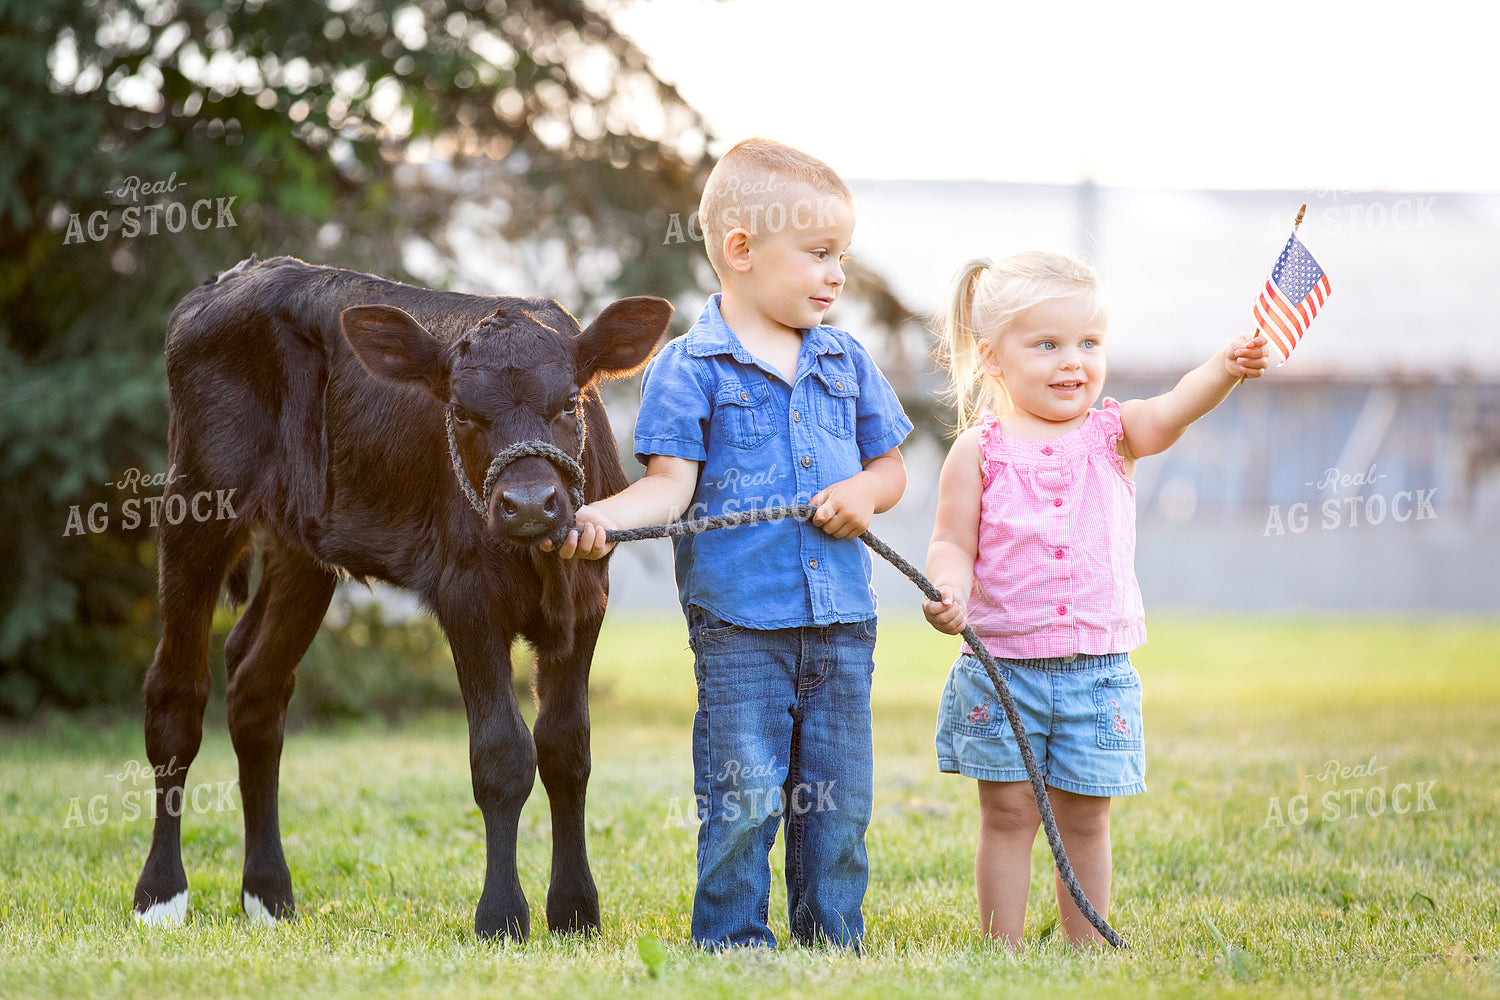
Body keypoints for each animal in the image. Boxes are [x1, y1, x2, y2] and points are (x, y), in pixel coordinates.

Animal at [130, 254, 672, 940]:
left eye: (569, 402)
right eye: (461, 413)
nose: (528, 505)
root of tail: (236, 277)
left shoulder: (586, 598)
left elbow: (566, 747)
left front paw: (575, 911)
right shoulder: (466, 597)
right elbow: (502, 753)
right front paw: (501, 916)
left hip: (303, 548)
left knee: (256, 687)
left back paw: (268, 895)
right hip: (195, 503)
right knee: (175, 693)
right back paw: (161, 895)